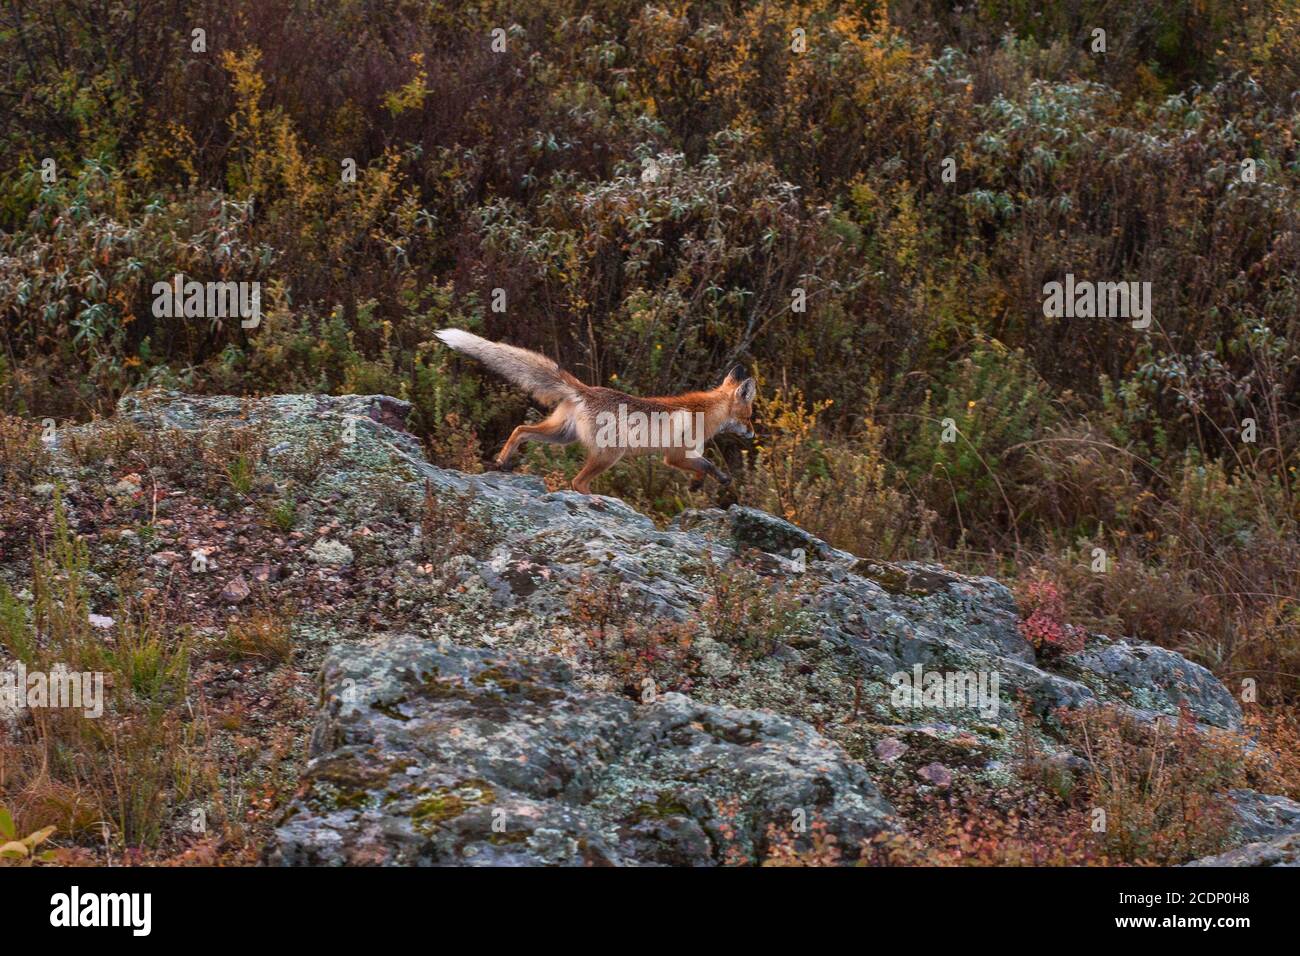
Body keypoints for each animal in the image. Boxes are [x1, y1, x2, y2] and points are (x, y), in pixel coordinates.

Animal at [434, 328, 756, 495]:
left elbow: (707, 466)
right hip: (609, 455)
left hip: (561, 435)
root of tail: (586, 390)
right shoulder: (674, 455)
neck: (702, 411)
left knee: (520, 429)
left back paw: (501, 461)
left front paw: (706, 483)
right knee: (577, 482)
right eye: (749, 416)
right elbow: (706, 465)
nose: (753, 434)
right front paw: (709, 480)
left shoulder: (685, 455)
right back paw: (596, 501)